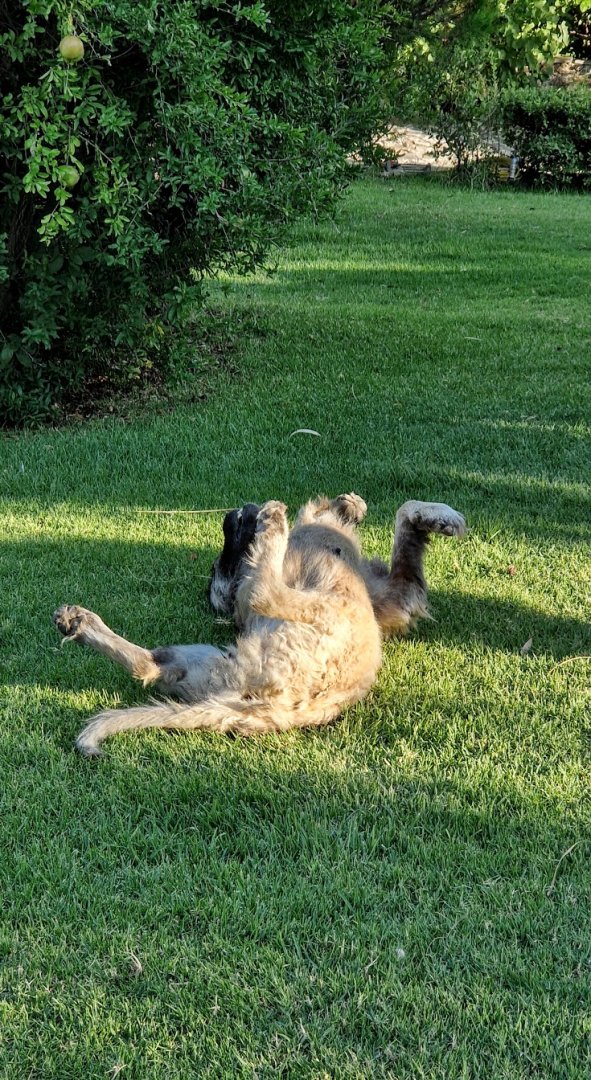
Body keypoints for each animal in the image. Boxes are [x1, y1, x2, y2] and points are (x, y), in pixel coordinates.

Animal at [53, 494, 465, 755]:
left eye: (222, 553)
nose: (232, 514)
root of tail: (275, 709)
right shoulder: (392, 593)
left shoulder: (395, 596)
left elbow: (403, 513)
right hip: (324, 609)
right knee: (262, 594)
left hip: (216, 659)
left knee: (151, 663)